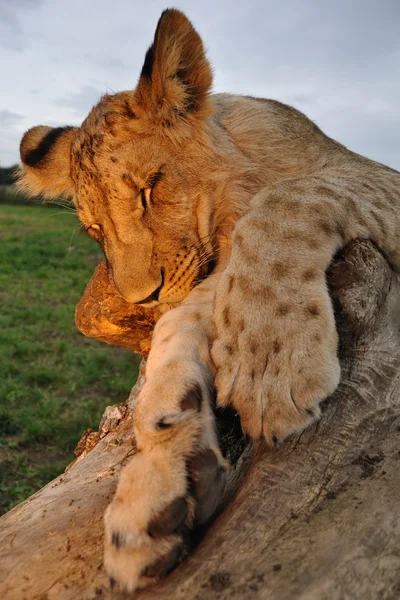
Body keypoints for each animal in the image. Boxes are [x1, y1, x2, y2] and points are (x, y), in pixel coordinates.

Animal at [16, 9, 400, 596]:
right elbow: (179, 325)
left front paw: (272, 367)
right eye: (94, 230)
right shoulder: (207, 276)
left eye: (150, 188)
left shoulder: (370, 175)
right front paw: (160, 475)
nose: (140, 297)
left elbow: (292, 196)